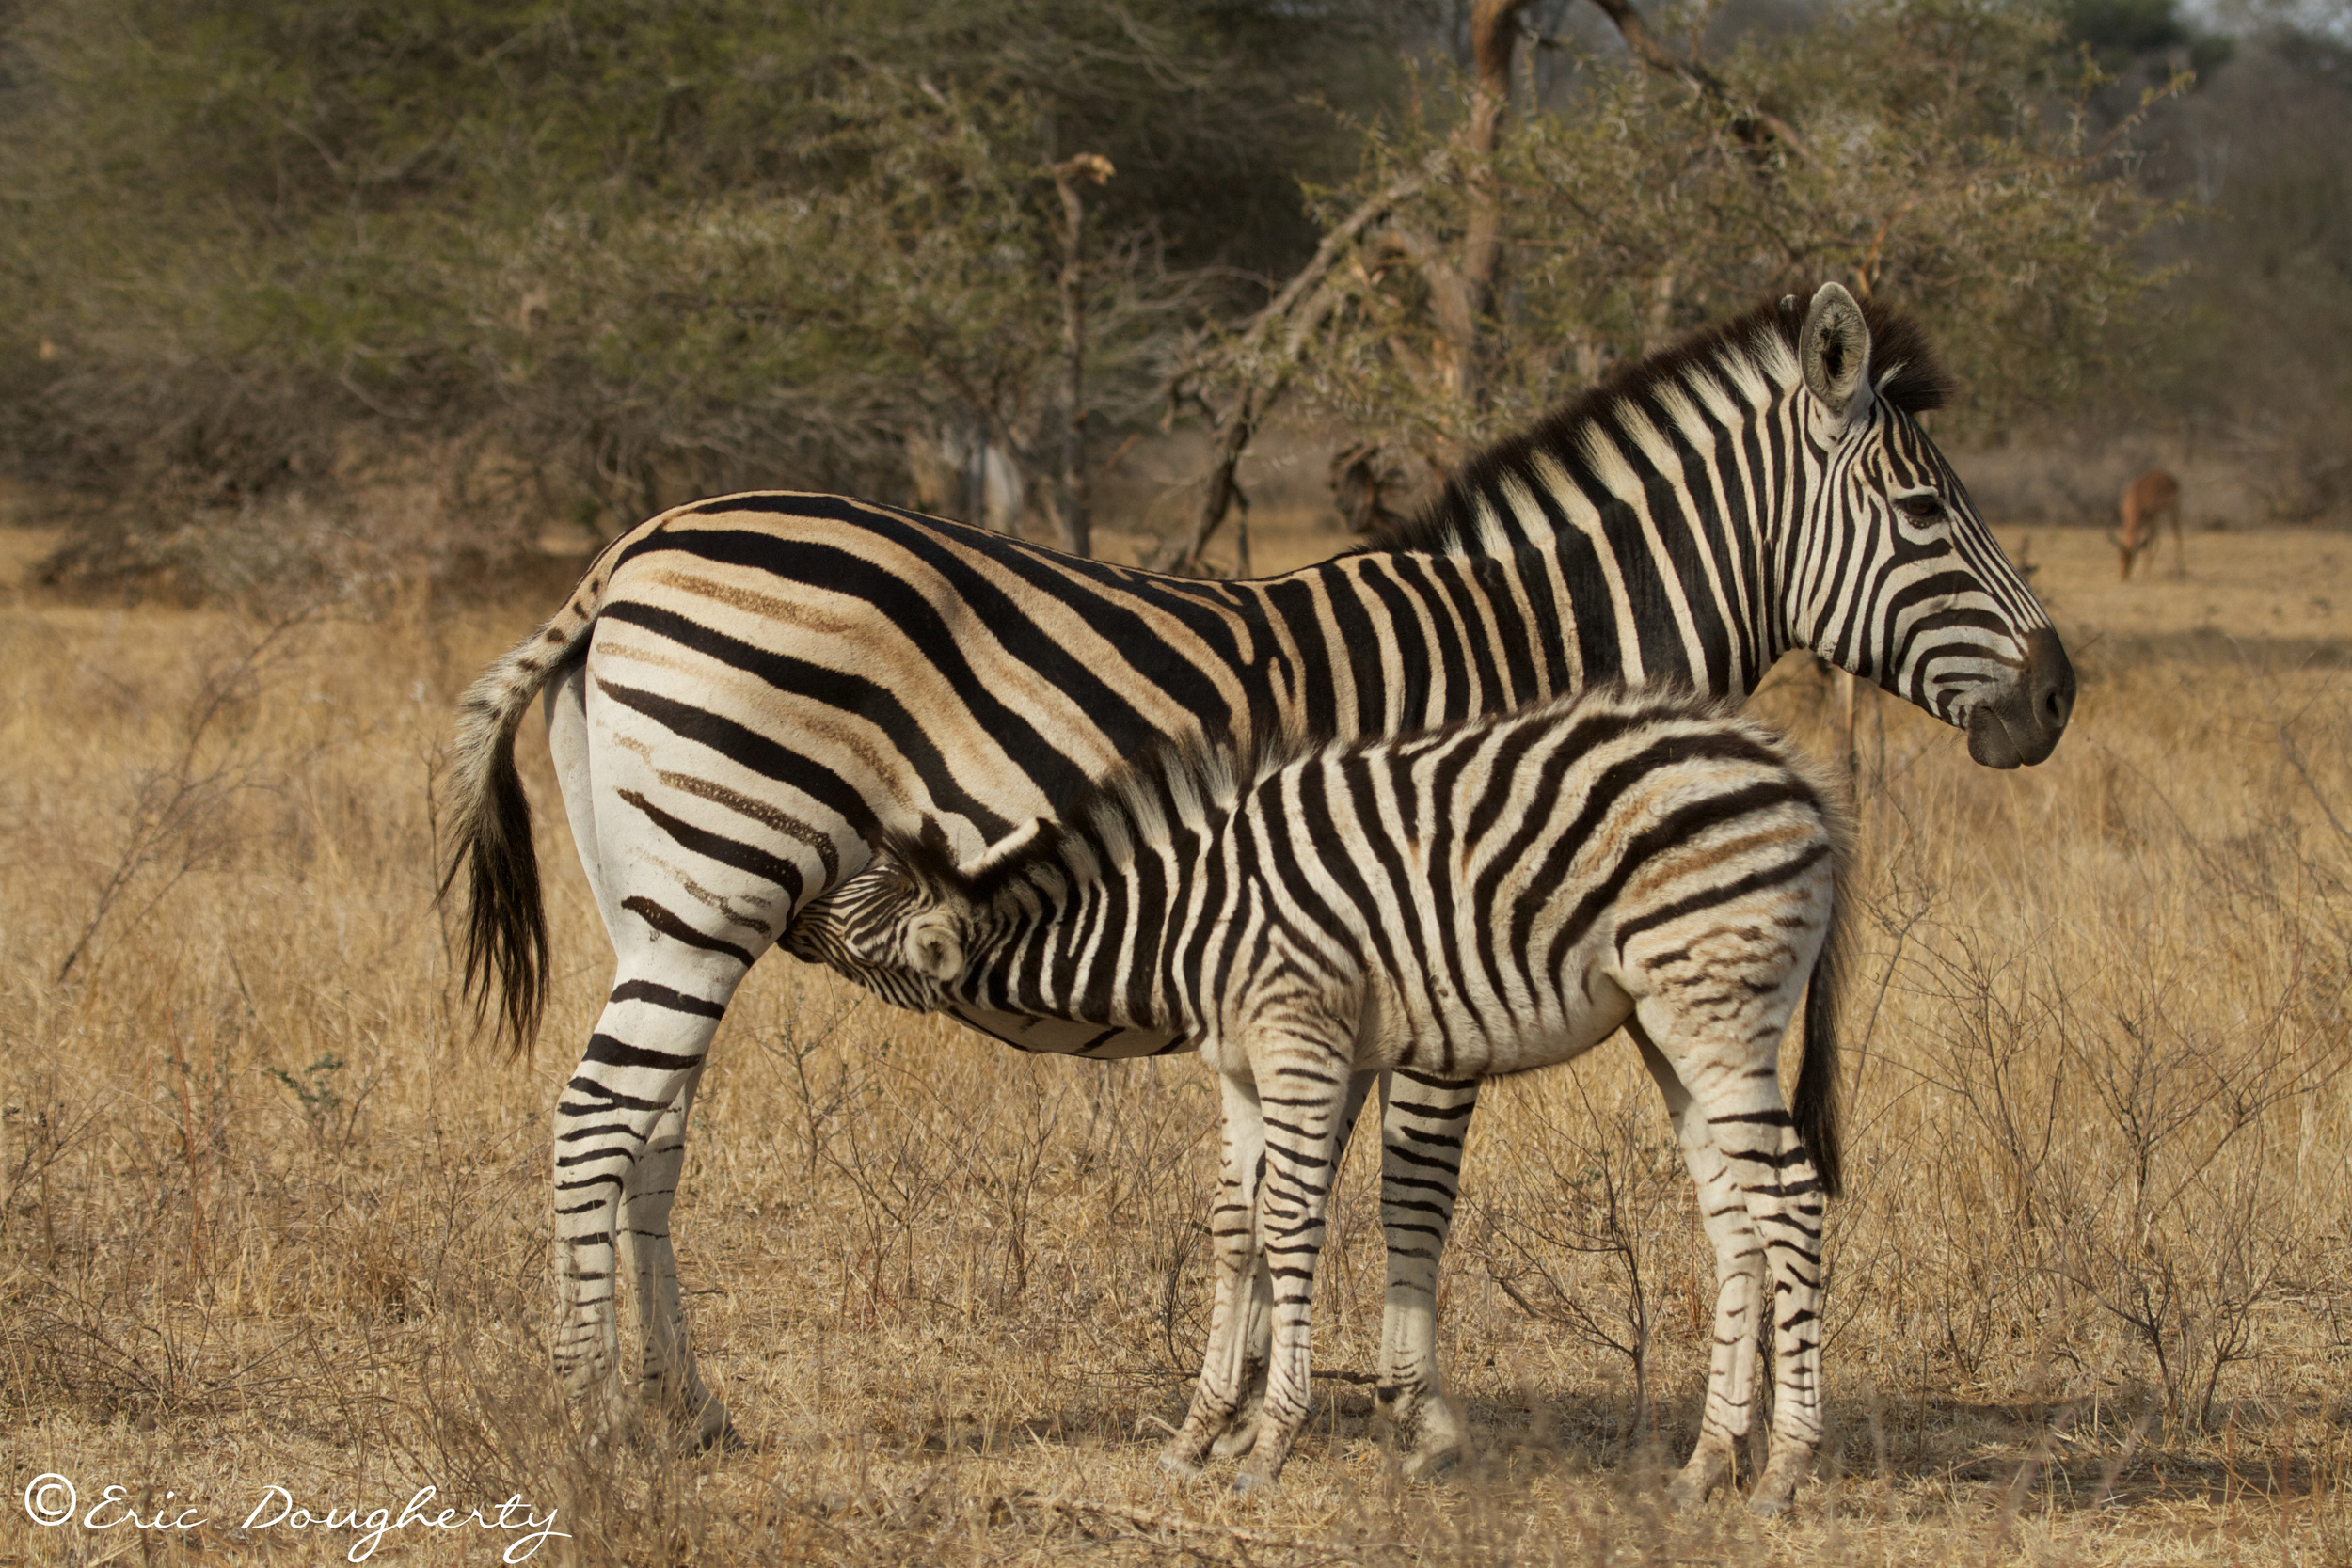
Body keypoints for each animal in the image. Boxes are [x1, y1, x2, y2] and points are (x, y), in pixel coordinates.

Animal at [792, 684, 1851, 1512]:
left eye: (862, 899)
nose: (795, 907)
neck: (1187, 918)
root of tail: (1794, 777)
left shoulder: (1301, 1037)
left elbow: (1292, 1220)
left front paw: (1268, 1446)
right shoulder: (1242, 1064)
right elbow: (1233, 1226)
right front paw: (1194, 1435)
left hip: (1718, 1013)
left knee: (1792, 1204)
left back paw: (1784, 1471)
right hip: (1671, 1029)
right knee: (1737, 1223)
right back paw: (1704, 1466)